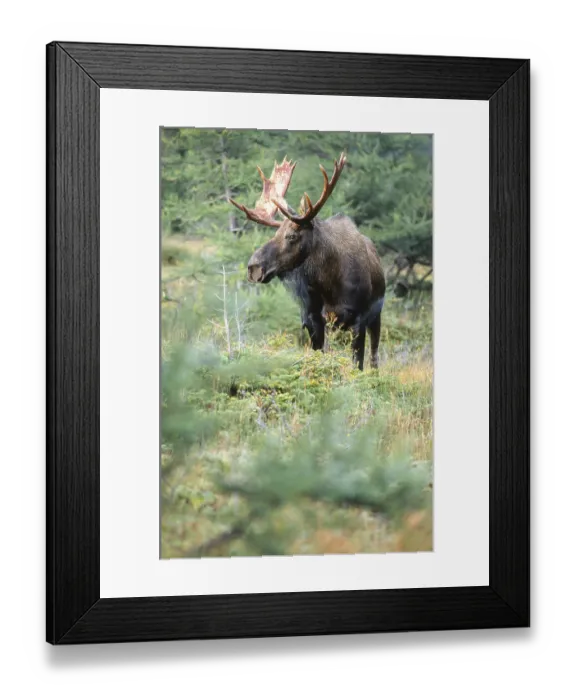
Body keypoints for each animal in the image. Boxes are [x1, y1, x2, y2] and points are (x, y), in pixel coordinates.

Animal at [229, 153, 386, 370]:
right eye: (275, 233)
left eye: (292, 235)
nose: (254, 267)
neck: (330, 285)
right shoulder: (312, 320)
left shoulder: (359, 319)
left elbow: (358, 364)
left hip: (376, 316)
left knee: (374, 357)